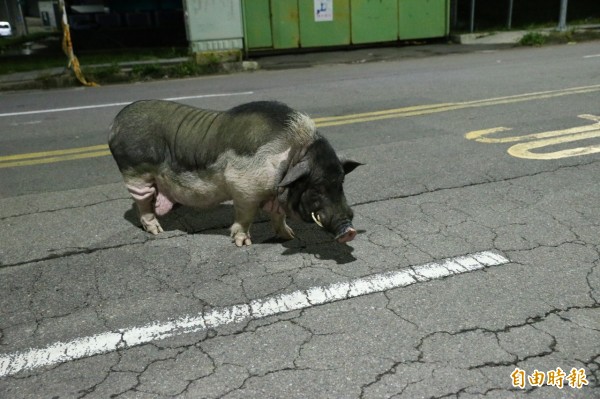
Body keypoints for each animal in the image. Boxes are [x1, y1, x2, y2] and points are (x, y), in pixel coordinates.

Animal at [108, 100, 360, 247]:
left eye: (341, 182)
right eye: (316, 188)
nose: (350, 231)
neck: (290, 156)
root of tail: (116, 121)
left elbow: (278, 216)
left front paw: (290, 236)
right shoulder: (243, 189)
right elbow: (245, 217)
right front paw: (243, 243)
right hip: (135, 174)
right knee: (142, 203)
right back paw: (157, 231)